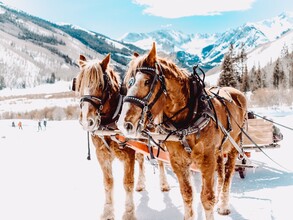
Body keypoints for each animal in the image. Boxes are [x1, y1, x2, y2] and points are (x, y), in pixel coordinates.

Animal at [74, 53, 169, 220]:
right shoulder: (102, 154)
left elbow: (127, 182)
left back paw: (163, 184)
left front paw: (129, 213)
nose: (87, 121)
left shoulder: (128, 153)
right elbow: (108, 182)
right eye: (79, 84)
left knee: (161, 160)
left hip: (157, 136)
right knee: (141, 160)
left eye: (101, 85)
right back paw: (141, 183)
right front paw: (108, 211)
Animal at [116, 42, 246, 218]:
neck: (188, 119)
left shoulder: (207, 161)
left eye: (147, 81)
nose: (124, 124)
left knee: (228, 174)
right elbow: (187, 195)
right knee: (220, 173)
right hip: (218, 151)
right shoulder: (178, 162)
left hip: (234, 145)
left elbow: (207, 198)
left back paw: (224, 205)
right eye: (129, 83)